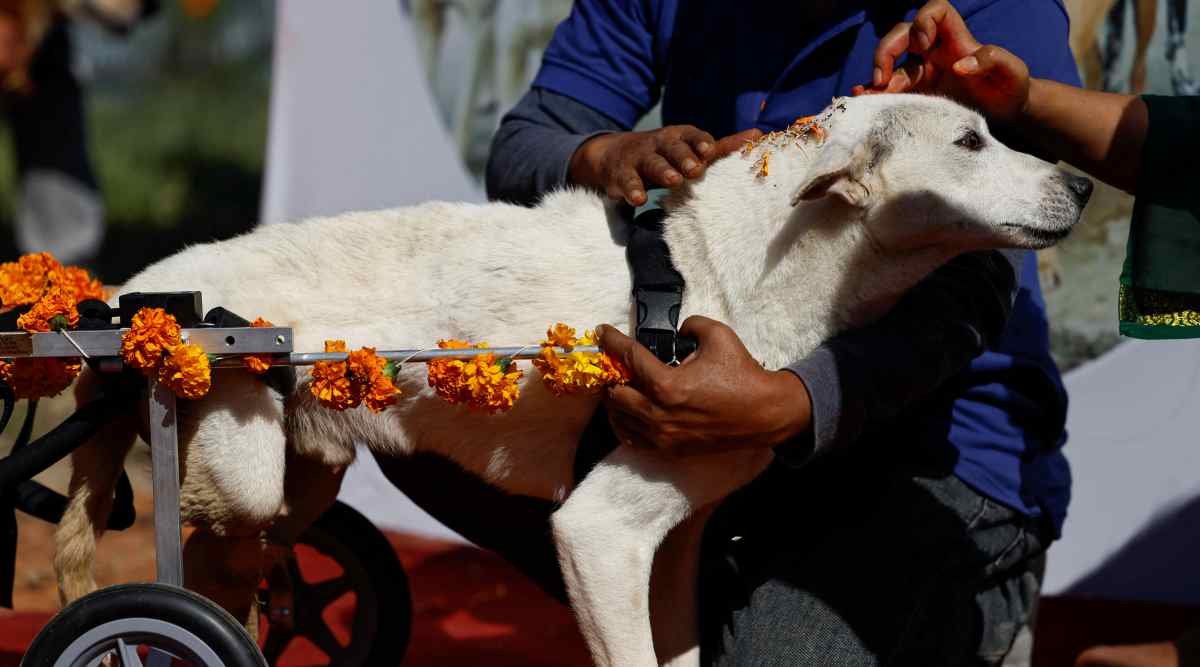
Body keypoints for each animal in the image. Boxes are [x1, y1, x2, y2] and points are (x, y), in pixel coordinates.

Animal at [54, 95, 1089, 667]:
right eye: (970, 143)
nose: (1083, 184)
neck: (726, 271)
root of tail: (132, 298)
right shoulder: (597, 532)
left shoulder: (673, 543)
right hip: (239, 468)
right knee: (182, 583)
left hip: (298, 482)